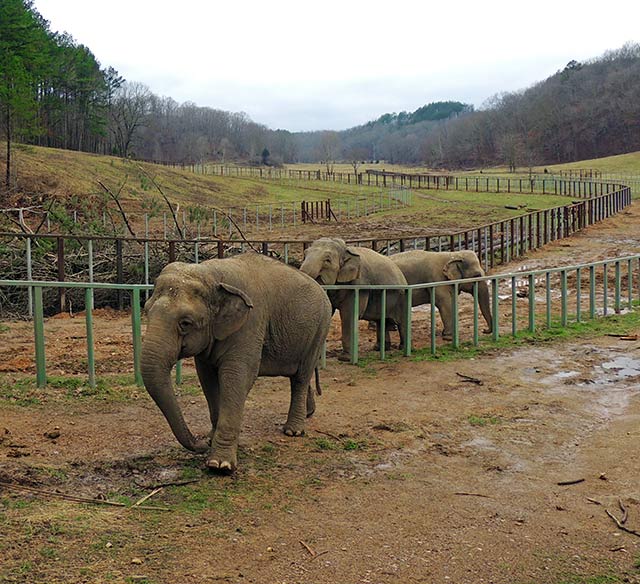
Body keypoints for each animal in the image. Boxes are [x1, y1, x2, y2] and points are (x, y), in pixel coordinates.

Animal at [140, 253, 330, 472]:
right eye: (146, 311)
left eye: (185, 323)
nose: (201, 442)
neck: (213, 274)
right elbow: (207, 379)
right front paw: (212, 440)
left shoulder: (250, 322)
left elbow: (237, 376)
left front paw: (219, 465)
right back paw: (308, 413)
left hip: (319, 329)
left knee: (301, 376)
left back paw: (293, 431)